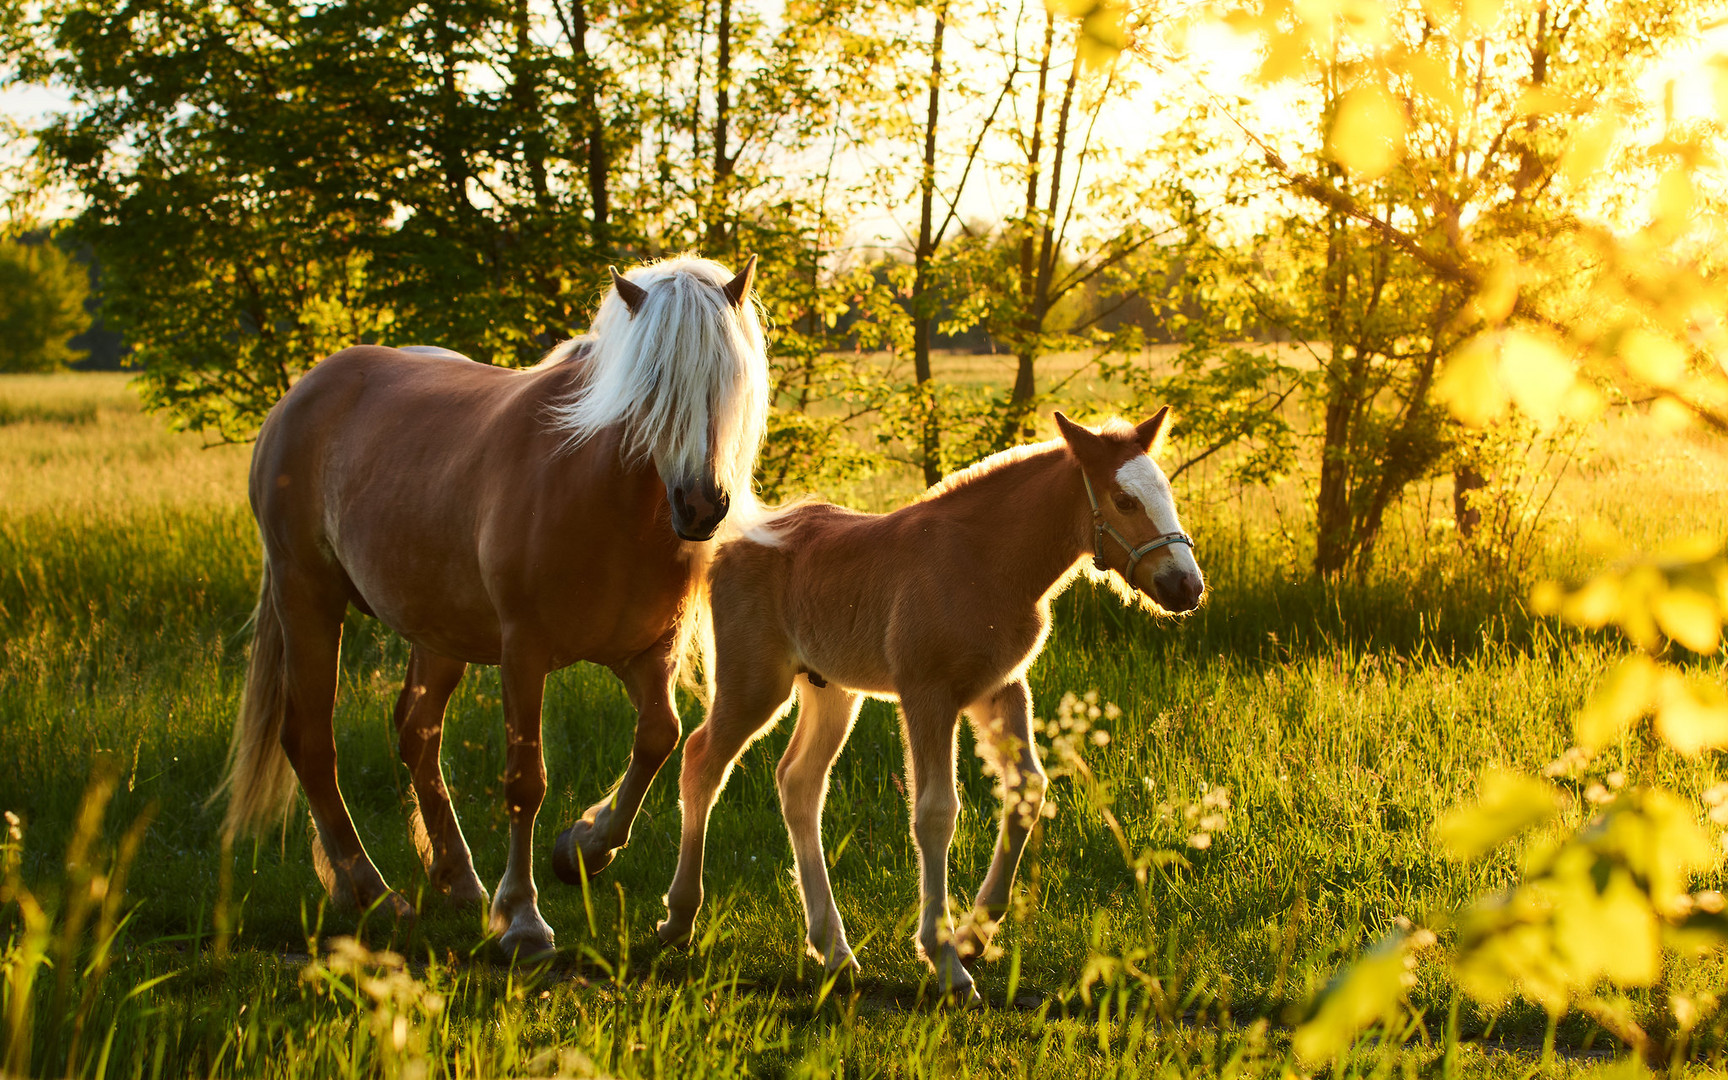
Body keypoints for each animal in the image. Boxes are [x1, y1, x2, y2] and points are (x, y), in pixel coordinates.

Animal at [653, 407, 1209, 995]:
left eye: (1164, 491)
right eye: (1124, 500)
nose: (1186, 586)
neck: (987, 563)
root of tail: (727, 543)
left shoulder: (1000, 687)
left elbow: (1027, 790)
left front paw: (973, 936)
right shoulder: (927, 693)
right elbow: (936, 812)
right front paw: (944, 959)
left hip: (831, 690)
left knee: (798, 783)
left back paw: (833, 948)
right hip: (754, 681)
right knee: (702, 761)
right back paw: (680, 917)